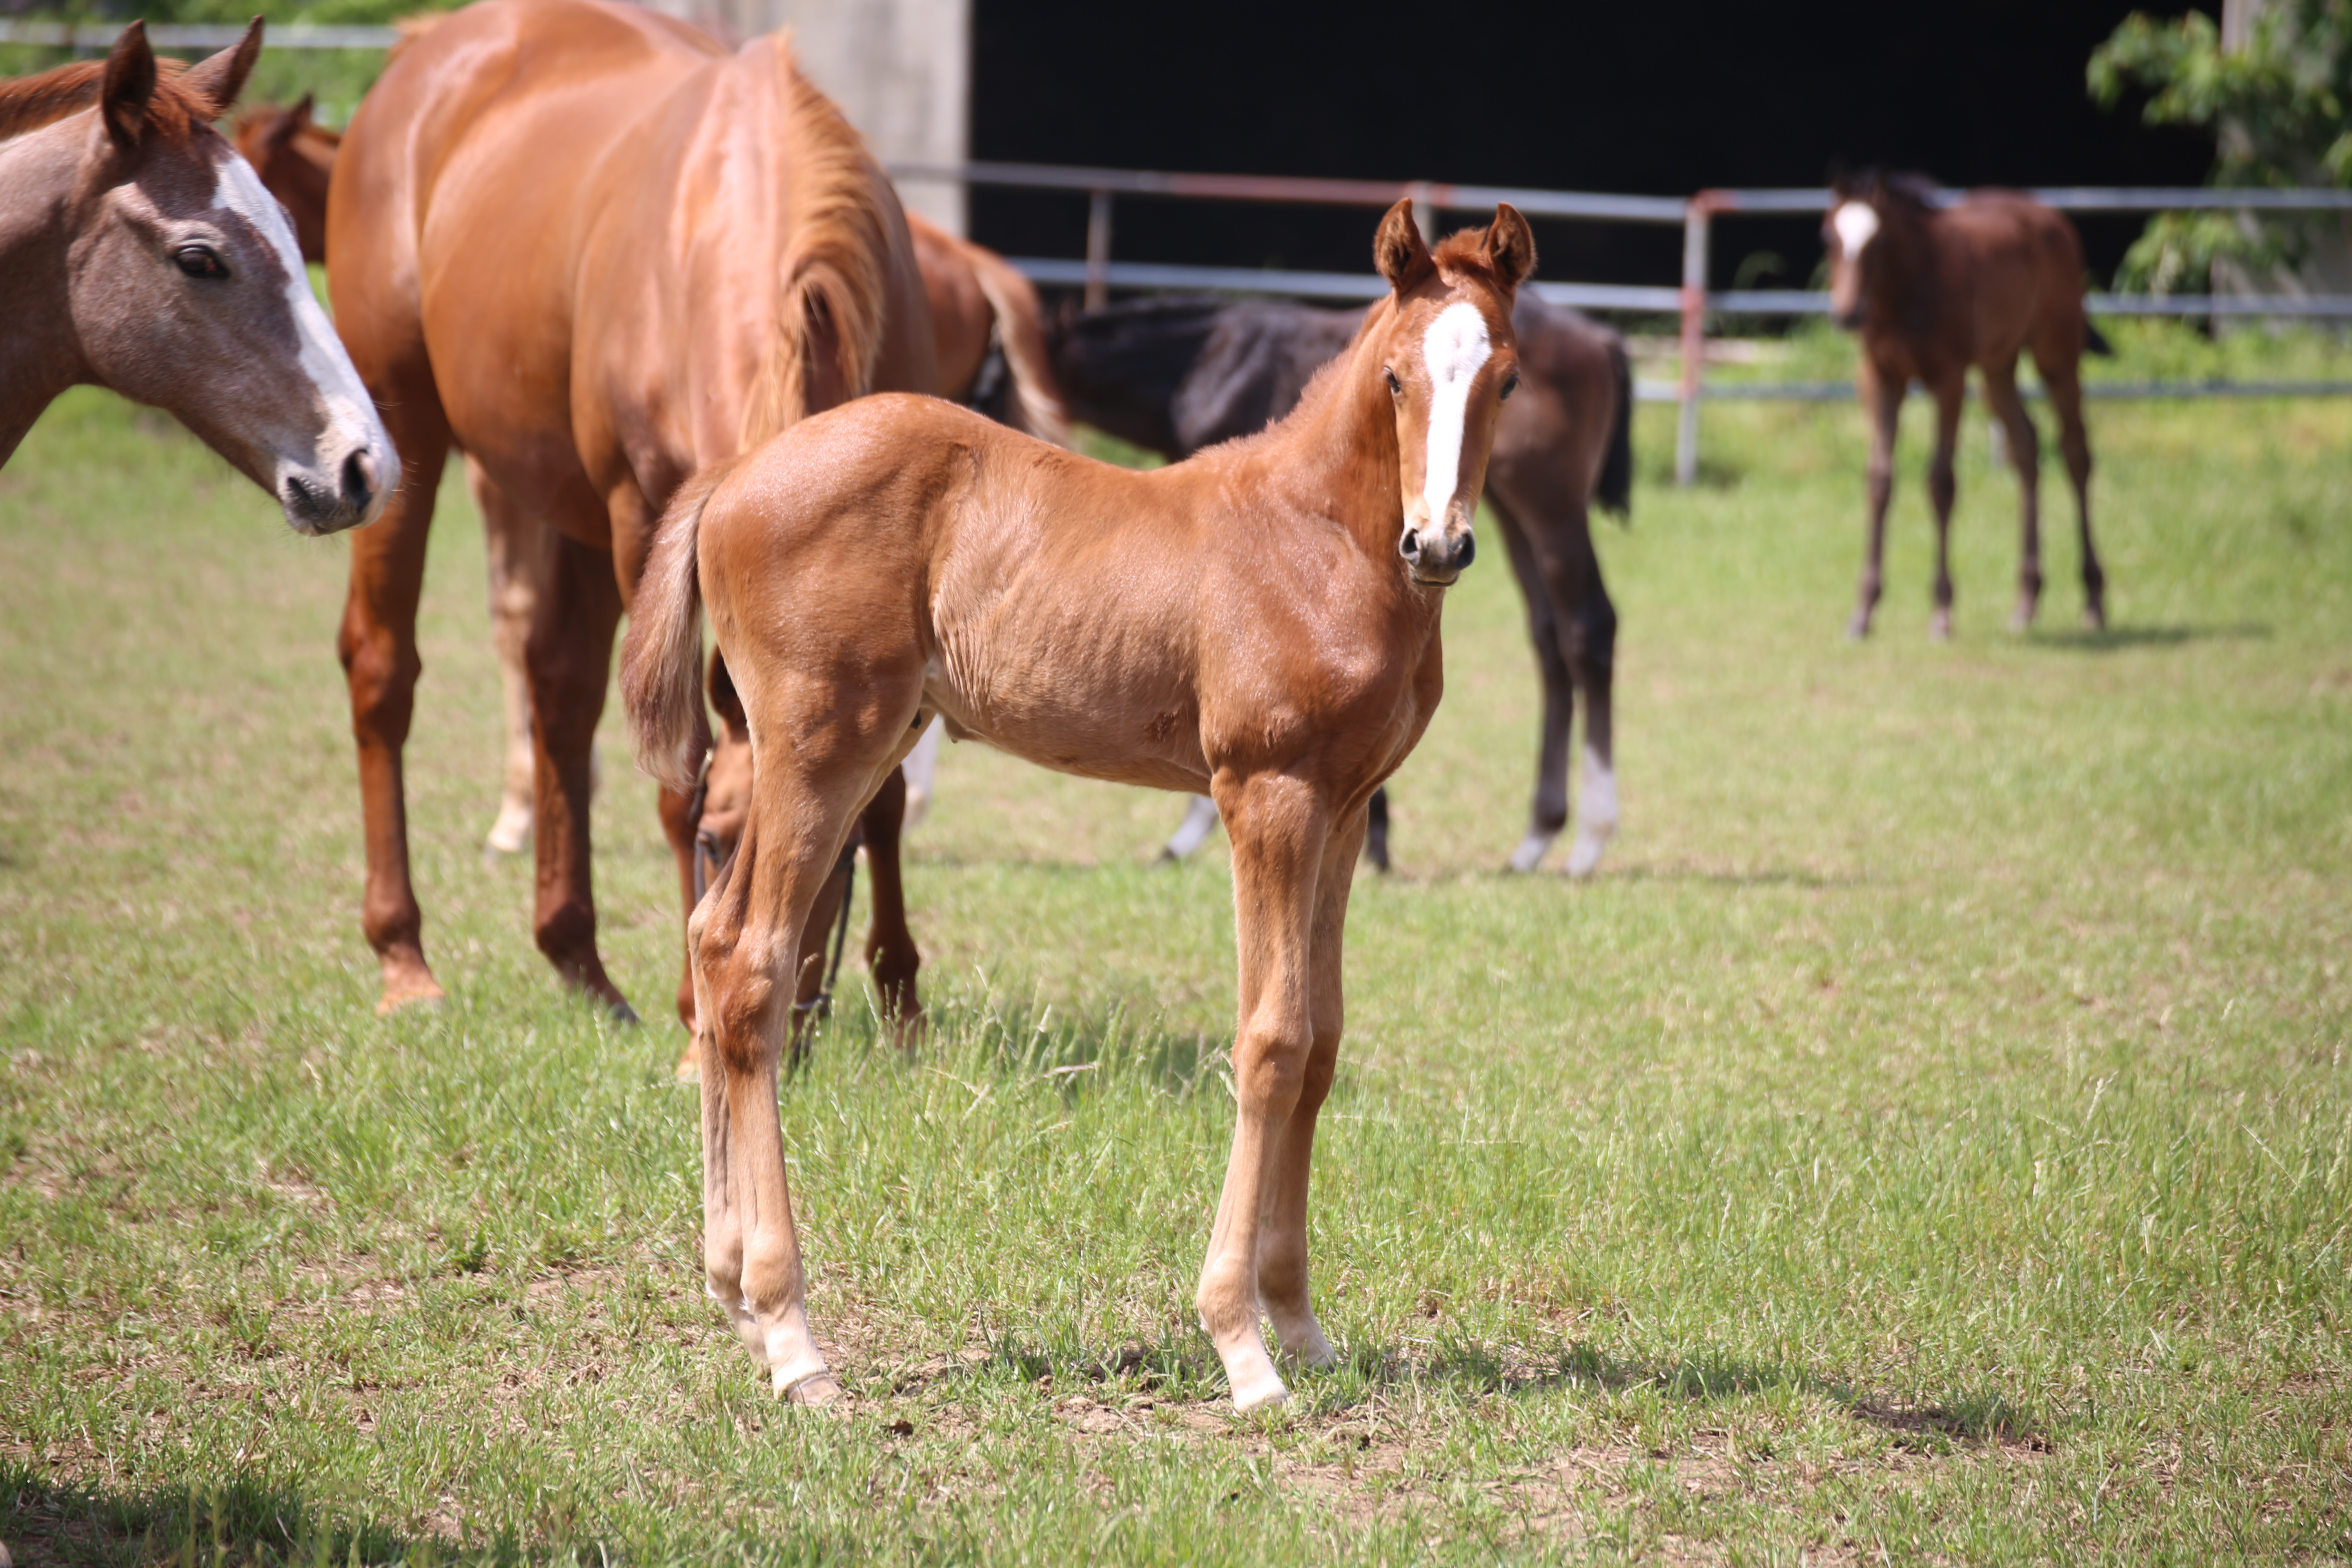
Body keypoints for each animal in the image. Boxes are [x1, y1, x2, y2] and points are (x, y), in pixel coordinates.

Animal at [324, 0, 945, 1029]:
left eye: (843, 855)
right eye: (715, 842)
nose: (779, 1013)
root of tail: (426, 50)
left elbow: (892, 783)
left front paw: (900, 995)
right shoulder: (640, 515)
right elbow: (674, 770)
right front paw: (696, 1004)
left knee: (559, 689)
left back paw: (578, 955)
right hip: (402, 430)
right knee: (383, 668)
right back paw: (403, 956)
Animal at [626, 202, 1543, 1420]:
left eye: (1507, 378)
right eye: (1395, 376)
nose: (1436, 543)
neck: (1316, 537)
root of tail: (732, 475)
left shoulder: (1344, 809)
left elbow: (1323, 1040)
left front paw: (1302, 1326)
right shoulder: (1266, 794)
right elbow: (1270, 1039)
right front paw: (1241, 1346)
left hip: (842, 754)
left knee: (714, 936)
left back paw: (732, 1293)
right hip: (820, 750)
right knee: (756, 967)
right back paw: (791, 1337)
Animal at [1058, 288, 1627, 879]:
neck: (1209, 362)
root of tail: (1601, 339)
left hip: (1549, 502)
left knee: (1588, 625)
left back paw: (1589, 840)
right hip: (1506, 508)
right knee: (1549, 636)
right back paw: (1536, 839)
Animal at [1815, 170, 2117, 639]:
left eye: (1878, 242)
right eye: (1829, 237)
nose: (1847, 315)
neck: (1907, 290)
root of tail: (2048, 216)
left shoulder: (1948, 380)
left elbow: (1942, 483)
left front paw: (1942, 612)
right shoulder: (1881, 380)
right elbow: (1880, 481)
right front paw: (1863, 611)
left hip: (2056, 356)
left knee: (2075, 453)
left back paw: (2094, 602)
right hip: (1997, 367)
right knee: (2026, 446)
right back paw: (2026, 602)